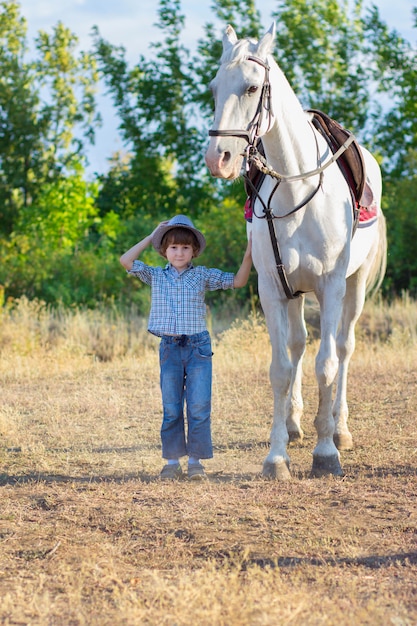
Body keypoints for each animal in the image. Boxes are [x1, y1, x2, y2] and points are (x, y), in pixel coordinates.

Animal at [206, 23, 386, 478]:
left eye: (252, 87)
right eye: (214, 88)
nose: (219, 158)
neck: (297, 189)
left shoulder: (331, 287)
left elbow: (327, 364)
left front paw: (326, 453)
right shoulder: (273, 289)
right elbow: (281, 369)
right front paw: (277, 455)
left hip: (355, 287)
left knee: (343, 348)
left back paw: (339, 428)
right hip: (294, 293)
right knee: (298, 345)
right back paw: (293, 423)